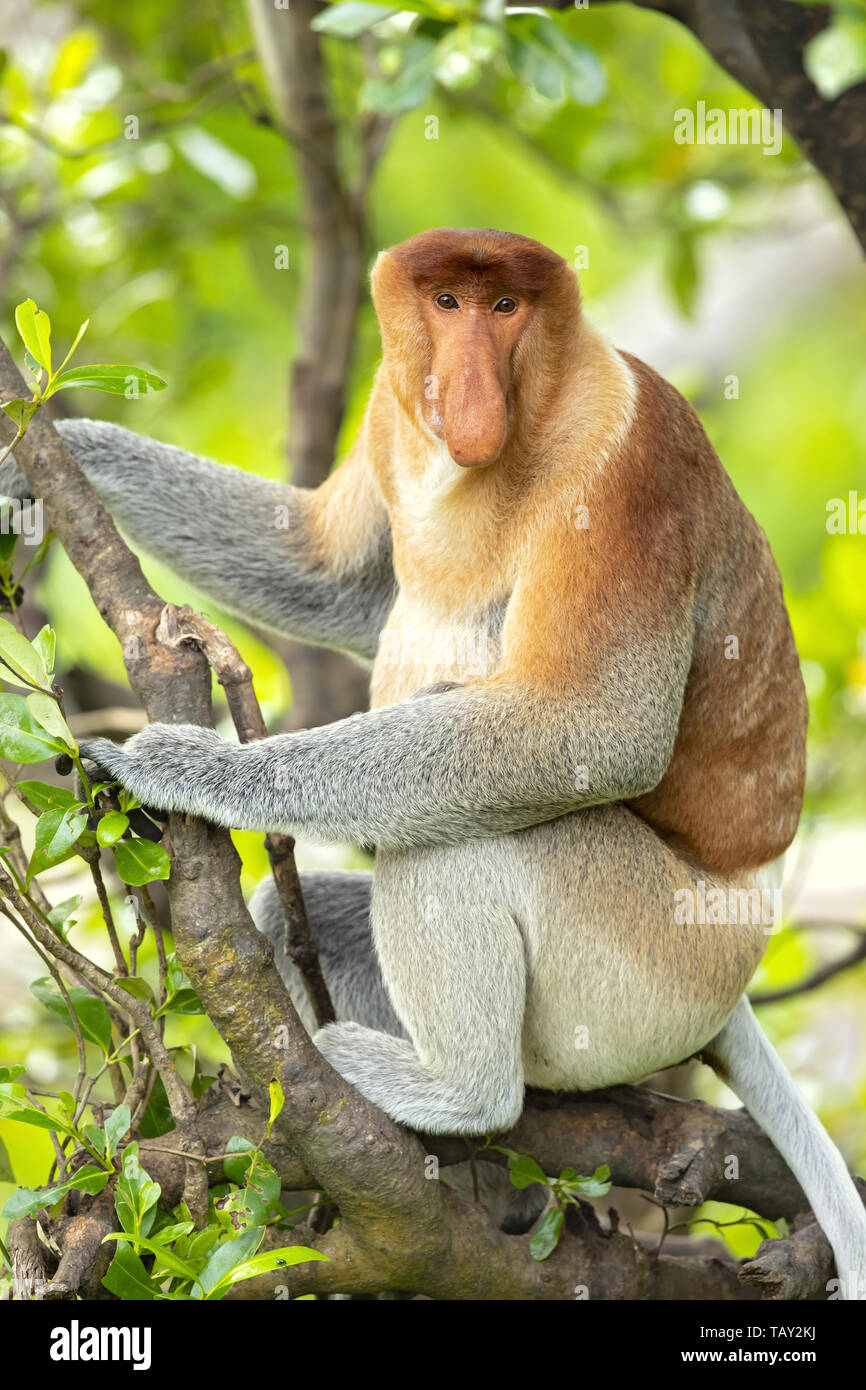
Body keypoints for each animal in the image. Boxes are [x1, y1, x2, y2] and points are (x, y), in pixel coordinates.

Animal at [2, 228, 864, 1294]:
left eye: (506, 309)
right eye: (446, 301)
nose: (469, 395)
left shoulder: (627, 466)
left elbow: (590, 732)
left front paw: (186, 766)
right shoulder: (391, 408)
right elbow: (335, 575)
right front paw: (57, 457)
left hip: (663, 958)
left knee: (470, 836)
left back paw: (452, 1095)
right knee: (316, 907)